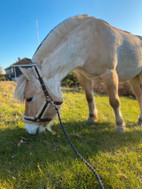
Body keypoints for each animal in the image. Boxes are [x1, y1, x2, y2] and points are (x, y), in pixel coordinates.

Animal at [14, 14, 142, 134]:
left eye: (29, 98)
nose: (29, 129)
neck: (90, 40)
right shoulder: (83, 76)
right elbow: (89, 97)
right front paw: (91, 118)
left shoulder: (109, 74)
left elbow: (114, 101)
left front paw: (120, 126)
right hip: (134, 79)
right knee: (139, 97)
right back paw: (140, 121)